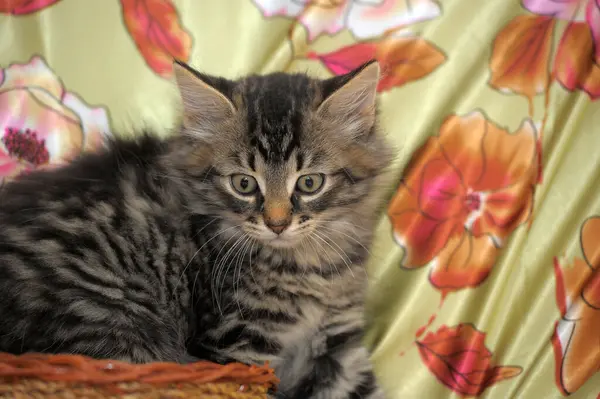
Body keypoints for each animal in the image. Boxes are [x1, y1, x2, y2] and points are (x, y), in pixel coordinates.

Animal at [0, 60, 394, 399]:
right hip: (113, 329)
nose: (277, 223)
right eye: (244, 184)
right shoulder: (235, 344)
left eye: (310, 183)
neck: (305, 266)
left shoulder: (338, 343)